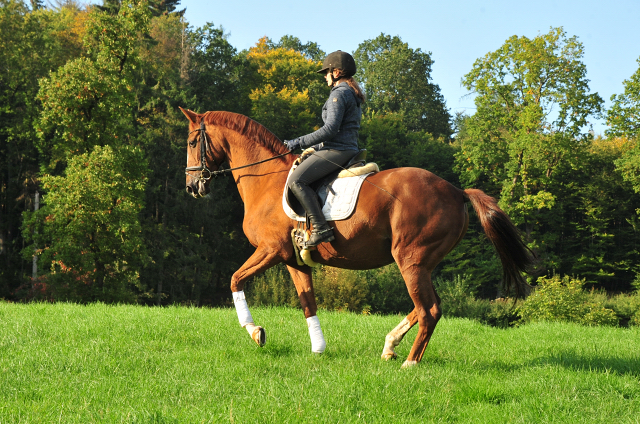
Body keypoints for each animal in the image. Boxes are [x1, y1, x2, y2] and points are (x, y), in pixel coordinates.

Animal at [181, 108, 536, 368]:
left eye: (191, 143)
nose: (192, 186)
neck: (266, 180)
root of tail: (456, 191)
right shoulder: (295, 261)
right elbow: (308, 303)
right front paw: (319, 349)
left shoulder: (271, 250)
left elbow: (235, 280)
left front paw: (255, 332)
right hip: (422, 263)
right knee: (426, 306)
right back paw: (391, 346)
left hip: (410, 260)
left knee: (429, 310)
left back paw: (409, 364)